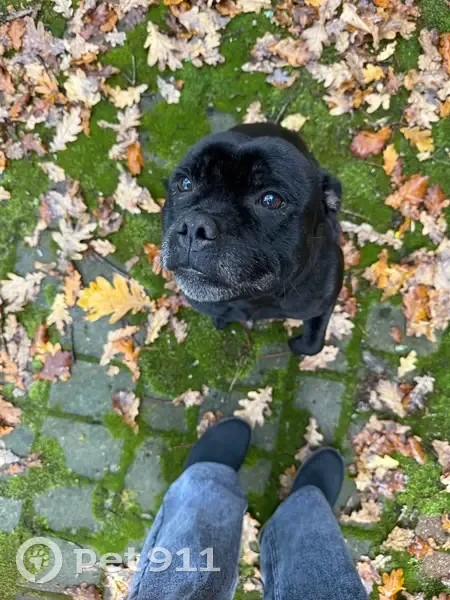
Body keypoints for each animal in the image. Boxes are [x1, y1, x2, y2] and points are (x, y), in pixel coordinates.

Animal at [161, 122, 344, 356]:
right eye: (184, 184)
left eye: (271, 200)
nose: (194, 226)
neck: (252, 299)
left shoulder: (324, 300)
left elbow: (313, 345)